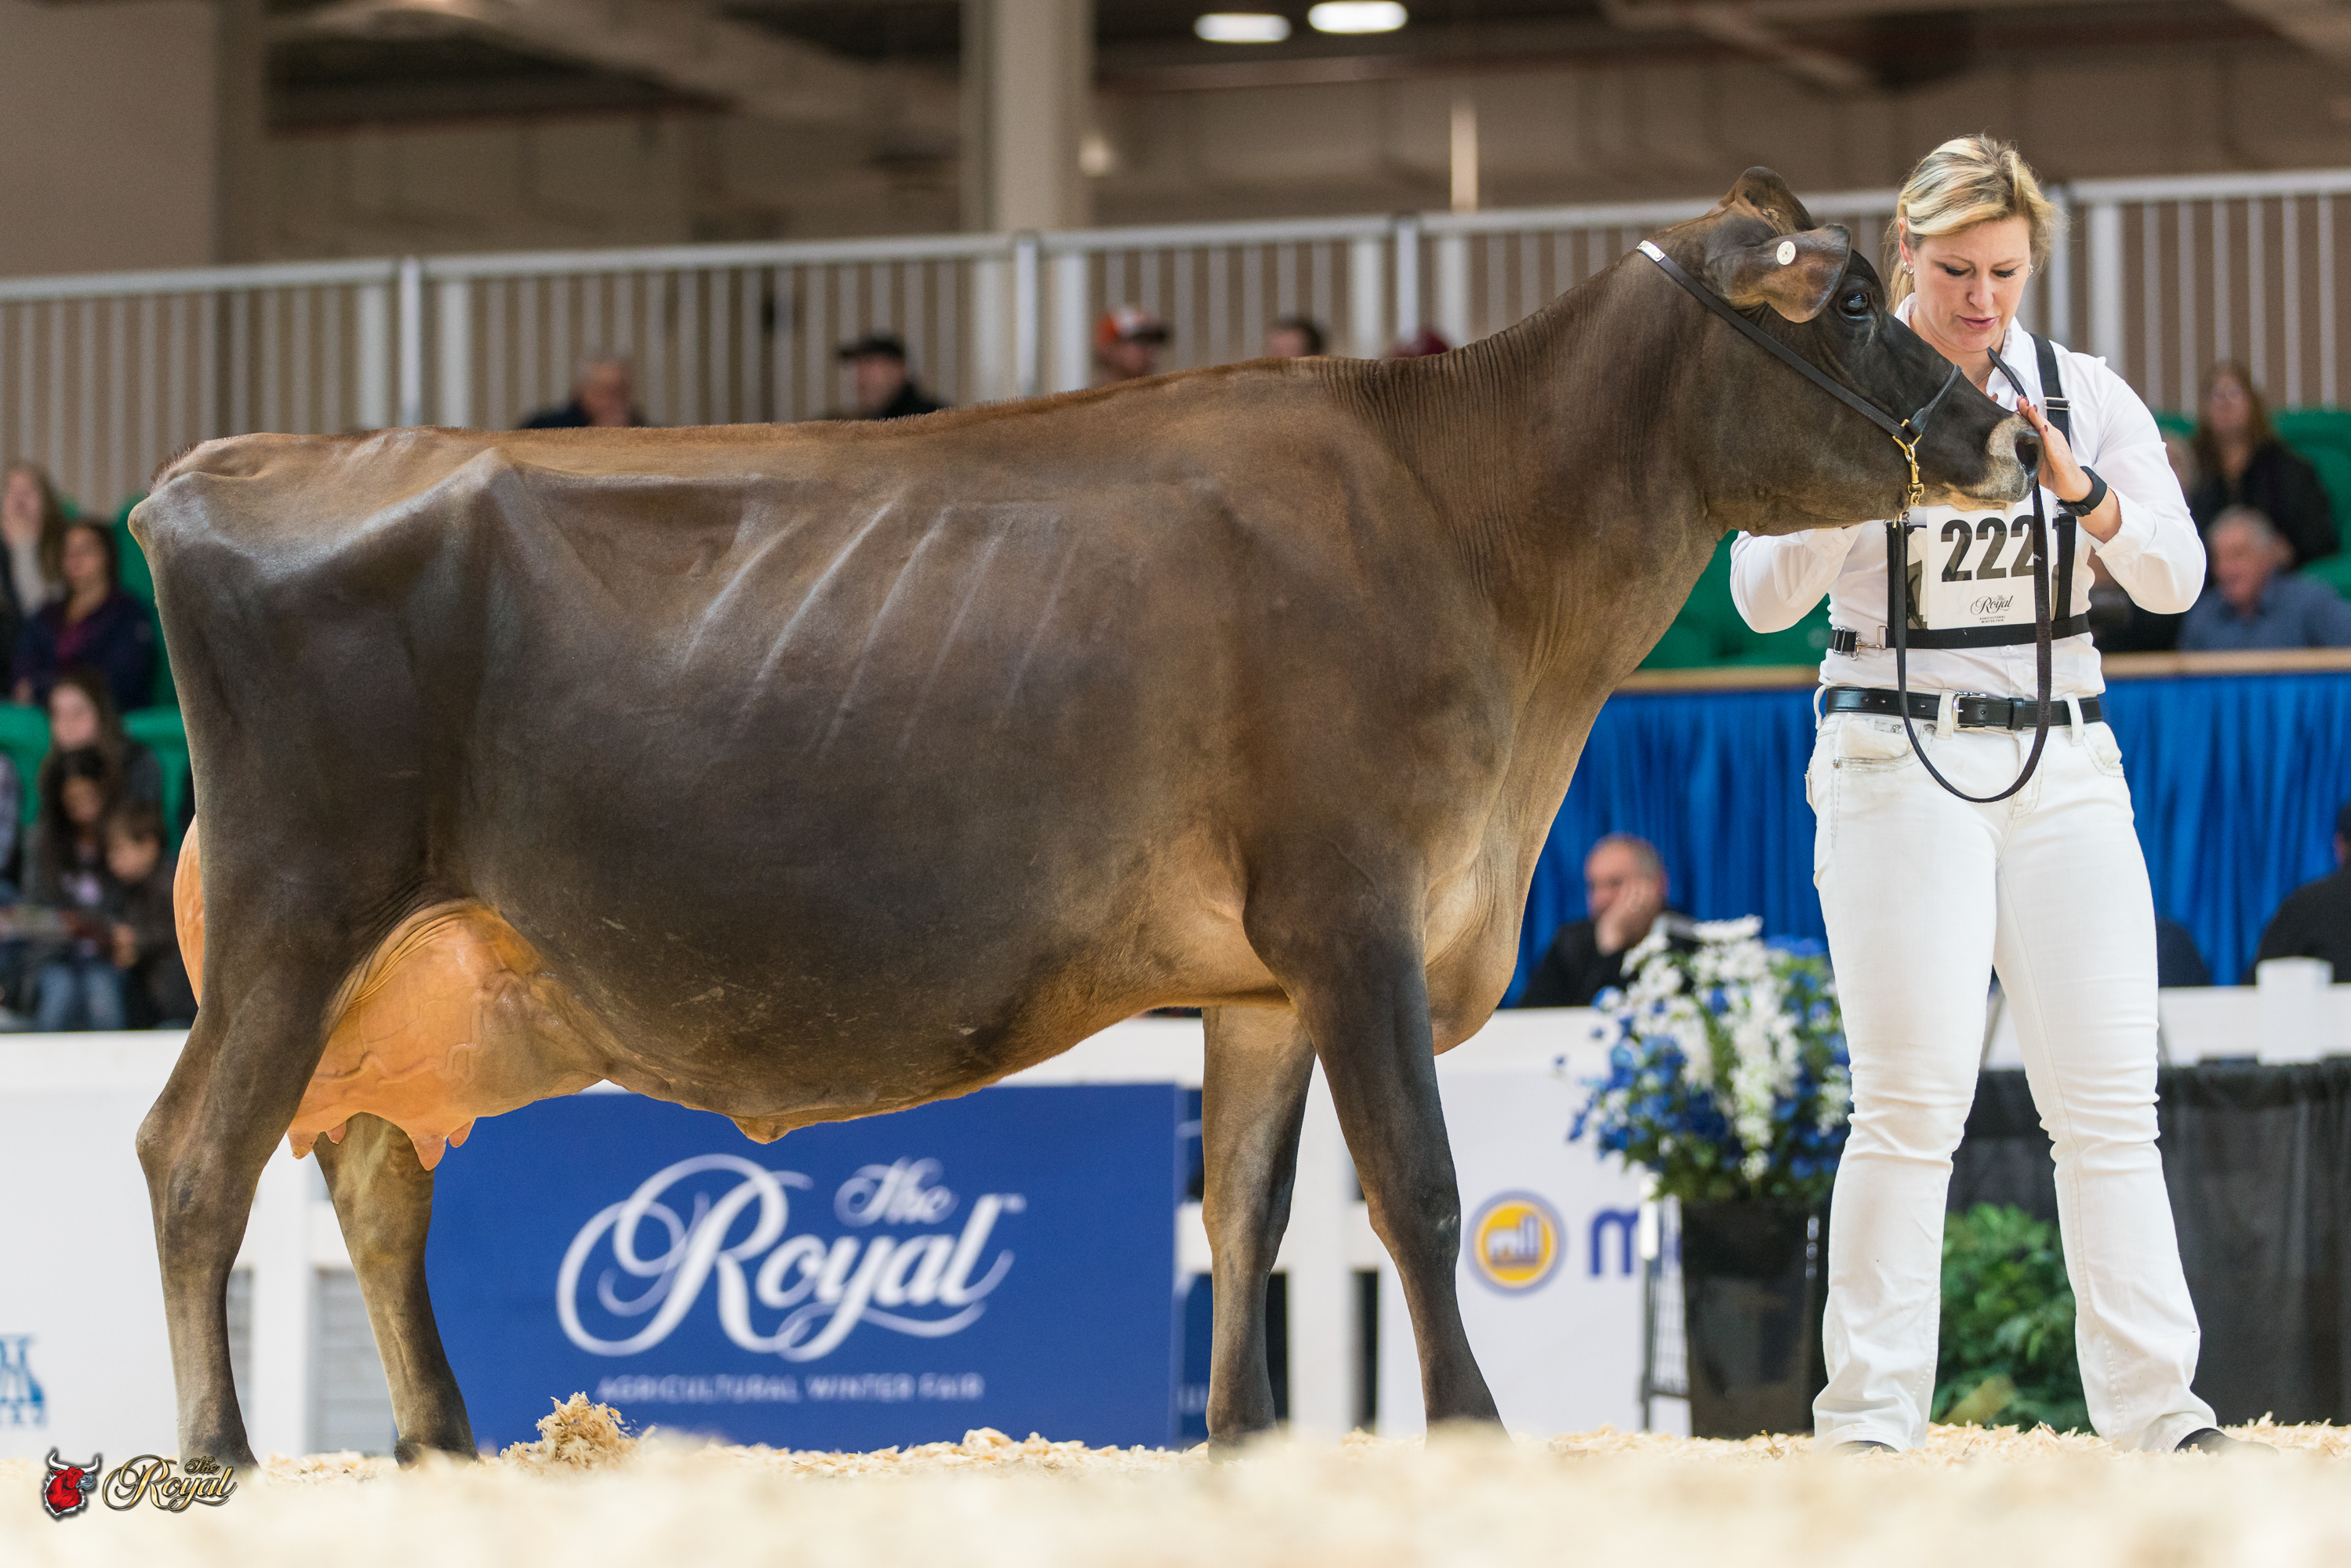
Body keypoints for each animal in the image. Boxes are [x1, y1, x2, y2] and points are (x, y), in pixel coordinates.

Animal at [132, 168, 2030, 1469]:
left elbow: (1251, 1215)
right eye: (1850, 303)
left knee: (372, 1176)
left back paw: (446, 1456)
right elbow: (1415, 1190)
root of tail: (220, 467)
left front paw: (1241, 1450)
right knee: (197, 1156)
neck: (1479, 542)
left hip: (419, 964)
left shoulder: (1265, 974)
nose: (2003, 436)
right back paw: (223, 1458)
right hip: (305, 905)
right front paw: (1469, 1440)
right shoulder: (1351, 909)